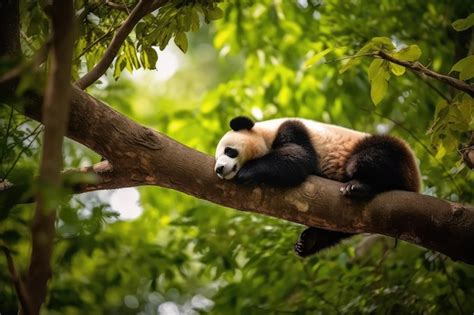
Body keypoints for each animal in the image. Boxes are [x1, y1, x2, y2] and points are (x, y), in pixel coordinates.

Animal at [216, 117, 422, 258]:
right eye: (217, 157)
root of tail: (416, 184)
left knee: (371, 157)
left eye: (229, 151)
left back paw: (358, 186)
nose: (219, 169)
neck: (265, 132)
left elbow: (298, 157)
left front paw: (247, 172)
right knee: (334, 230)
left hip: (393, 155)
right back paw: (307, 242)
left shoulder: (293, 129)